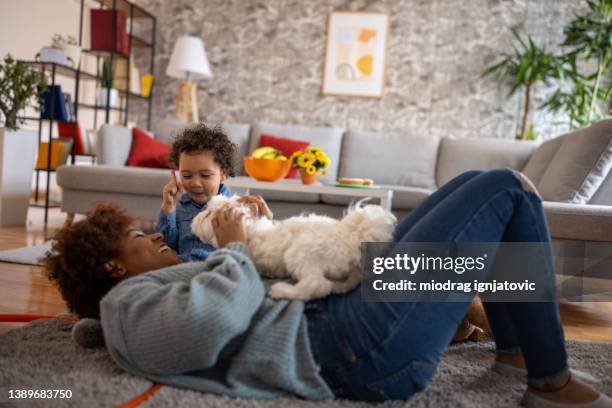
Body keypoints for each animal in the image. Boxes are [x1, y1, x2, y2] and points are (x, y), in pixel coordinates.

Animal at [194, 196, 400, 302]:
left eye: (208, 214)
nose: (196, 219)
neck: (250, 230)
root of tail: (351, 235)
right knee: (351, 280)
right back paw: (339, 287)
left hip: (300, 254)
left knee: (317, 285)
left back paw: (282, 291)